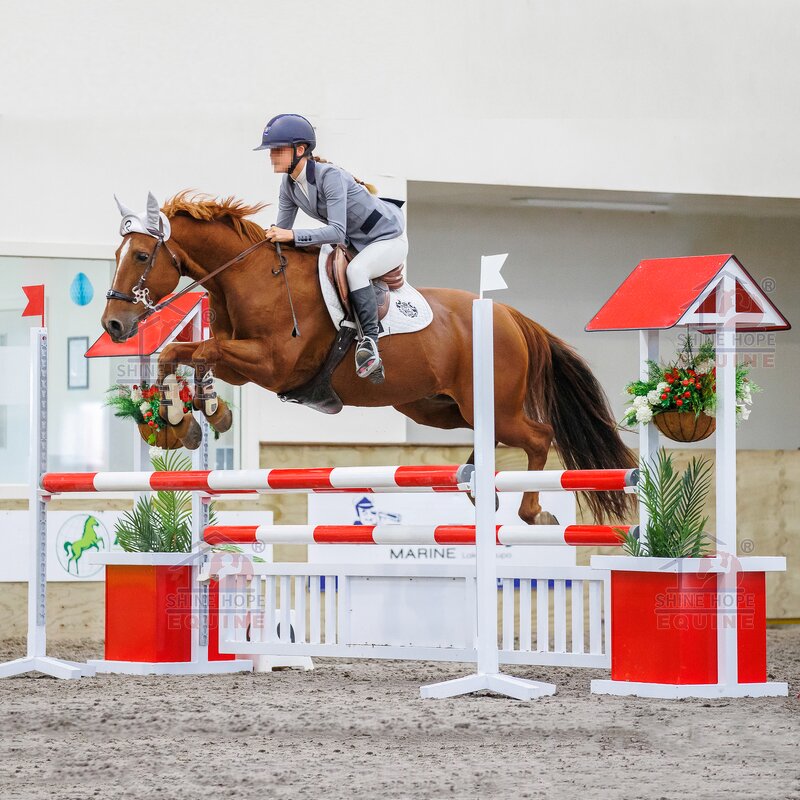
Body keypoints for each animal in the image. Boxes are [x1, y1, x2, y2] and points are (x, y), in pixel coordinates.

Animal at [101, 192, 636, 525]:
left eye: (143, 256)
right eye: (118, 254)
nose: (114, 326)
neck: (250, 278)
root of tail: (508, 314)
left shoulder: (272, 364)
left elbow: (192, 350)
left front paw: (185, 416)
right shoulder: (243, 361)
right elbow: (184, 356)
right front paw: (190, 418)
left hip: (494, 405)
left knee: (538, 436)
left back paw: (529, 511)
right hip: (436, 407)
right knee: (488, 435)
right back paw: (474, 483)